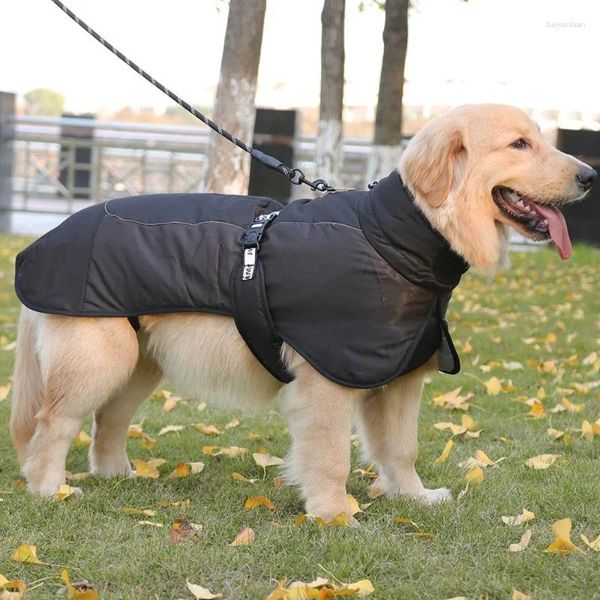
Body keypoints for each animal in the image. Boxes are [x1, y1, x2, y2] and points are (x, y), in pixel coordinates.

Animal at [9, 104, 596, 520]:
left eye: (541, 138)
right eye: (519, 143)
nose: (590, 175)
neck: (396, 238)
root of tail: (45, 239)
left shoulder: (400, 380)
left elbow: (401, 449)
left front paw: (412, 496)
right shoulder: (328, 380)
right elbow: (332, 456)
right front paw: (334, 516)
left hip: (138, 363)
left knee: (107, 420)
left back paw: (117, 476)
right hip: (99, 359)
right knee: (52, 423)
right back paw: (48, 489)